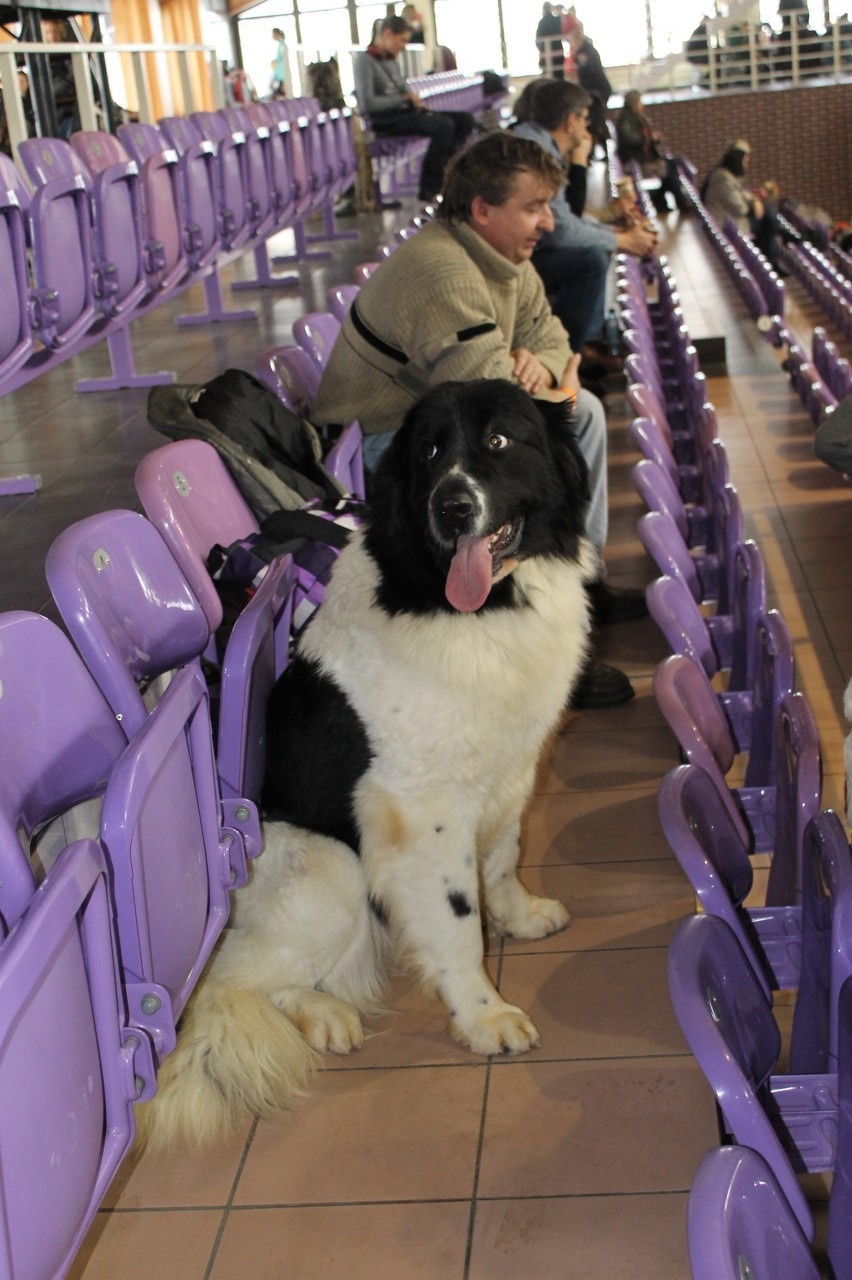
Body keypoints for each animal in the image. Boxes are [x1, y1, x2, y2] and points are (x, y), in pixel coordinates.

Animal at [137, 378, 591, 1152]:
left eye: (500, 441)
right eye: (430, 453)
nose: (452, 506)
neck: (467, 606)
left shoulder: (509, 771)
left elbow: (503, 858)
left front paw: (520, 915)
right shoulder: (423, 814)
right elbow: (455, 922)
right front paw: (482, 1015)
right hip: (332, 868)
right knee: (231, 984)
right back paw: (322, 1015)